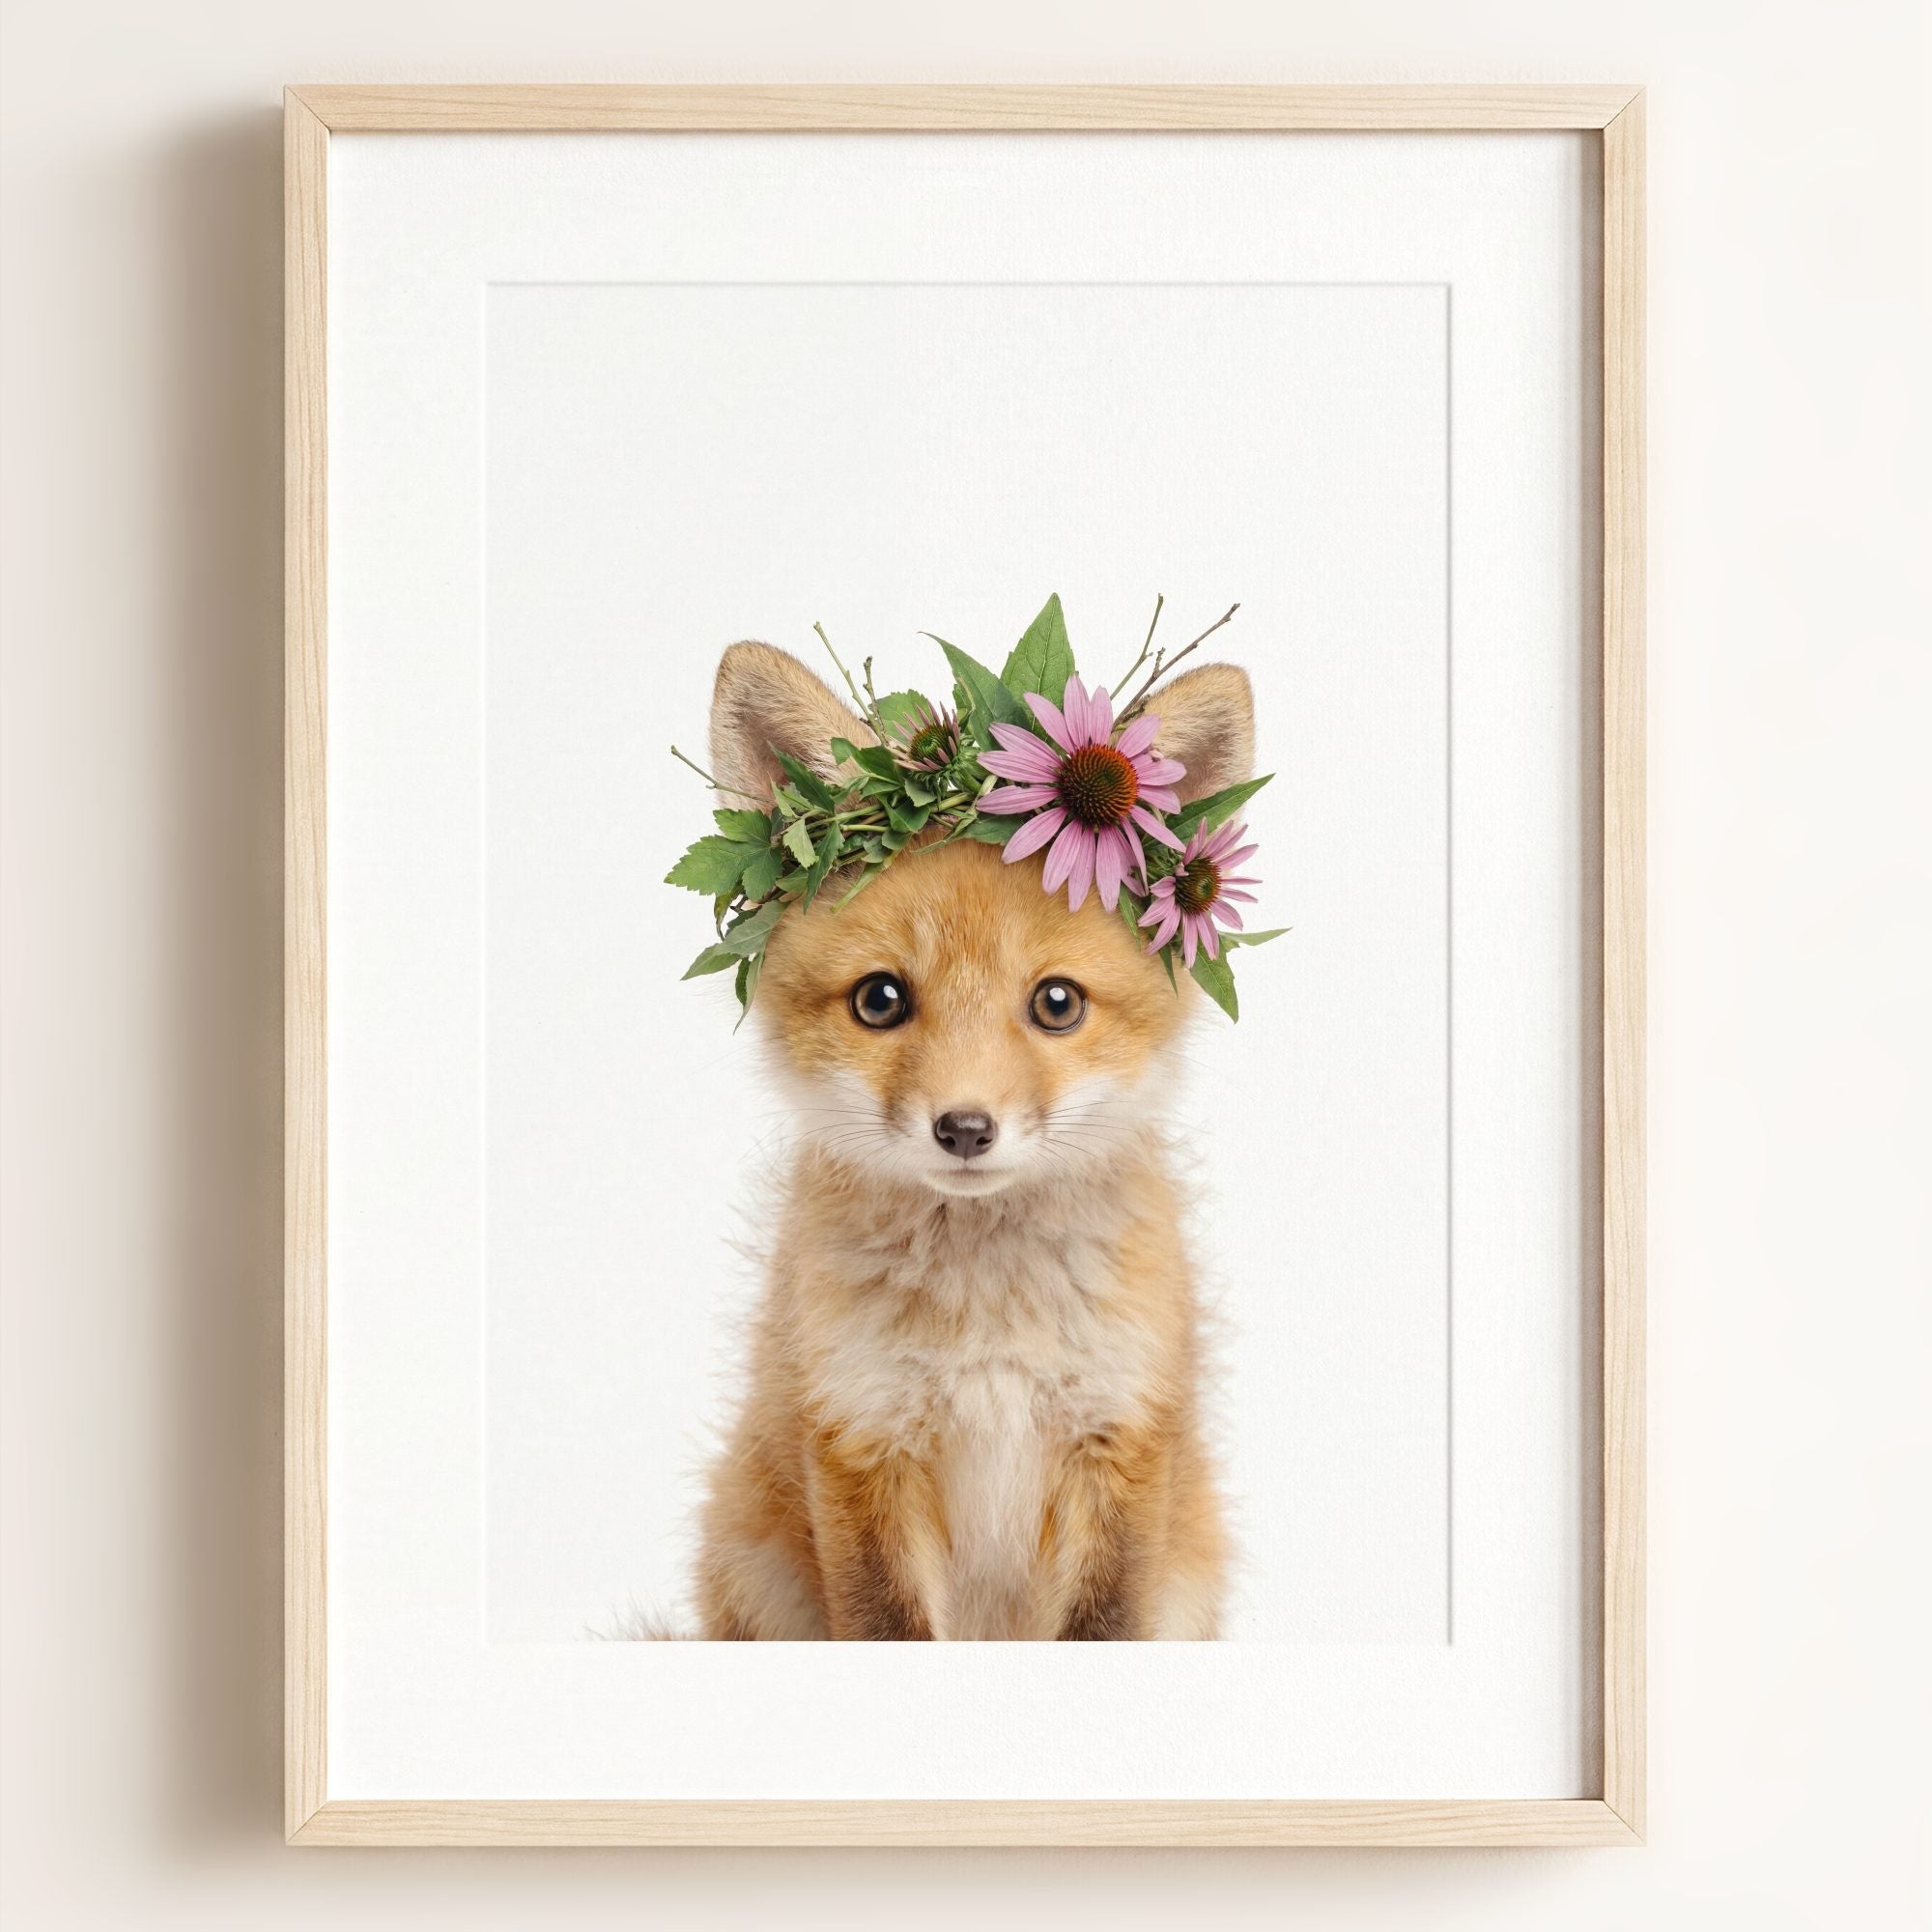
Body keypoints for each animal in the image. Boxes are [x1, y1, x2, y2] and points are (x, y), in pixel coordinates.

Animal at [691, 639, 1256, 1640]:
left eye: (1057, 1003)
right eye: (880, 999)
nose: (963, 1129)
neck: (988, 1328)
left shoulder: (1118, 1438)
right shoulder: (862, 1437)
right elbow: (887, 1627)